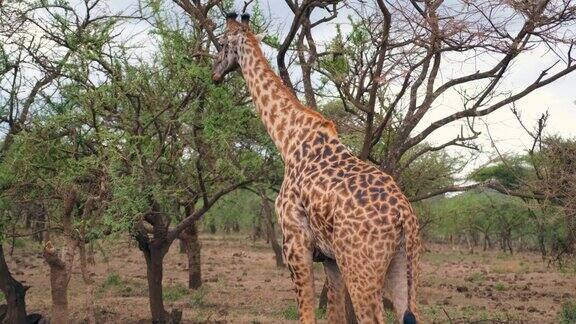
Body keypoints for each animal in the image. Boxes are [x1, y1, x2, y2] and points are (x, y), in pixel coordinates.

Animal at [212, 12, 424, 324]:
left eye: (221, 43)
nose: (214, 73)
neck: (288, 140)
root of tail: (404, 215)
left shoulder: (295, 244)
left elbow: (307, 314)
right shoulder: (331, 259)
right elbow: (334, 316)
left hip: (360, 268)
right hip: (405, 264)